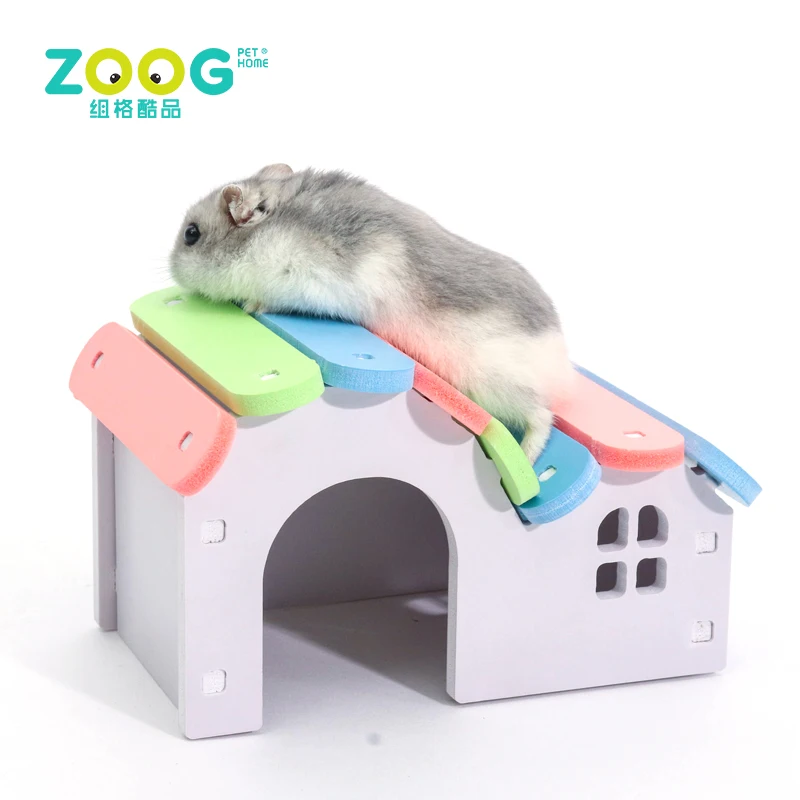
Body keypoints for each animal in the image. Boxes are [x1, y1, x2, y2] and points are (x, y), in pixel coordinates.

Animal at [170, 164, 574, 462]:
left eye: (191, 234)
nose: (172, 270)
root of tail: (558, 353)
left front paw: (252, 305)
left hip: (493, 383)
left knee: (542, 416)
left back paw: (530, 461)